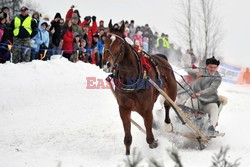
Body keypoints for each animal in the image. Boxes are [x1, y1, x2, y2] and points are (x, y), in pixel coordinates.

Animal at [102, 20, 177, 155]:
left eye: (120, 43)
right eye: (105, 40)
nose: (106, 64)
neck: (131, 79)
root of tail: (162, 57)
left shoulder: (146, 108)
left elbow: (150, 139)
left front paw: (154, 143)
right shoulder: (124, 108)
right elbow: (127, 138)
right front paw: (128, 155)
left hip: (171, 91)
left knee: (168, 104)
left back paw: (167, 125)